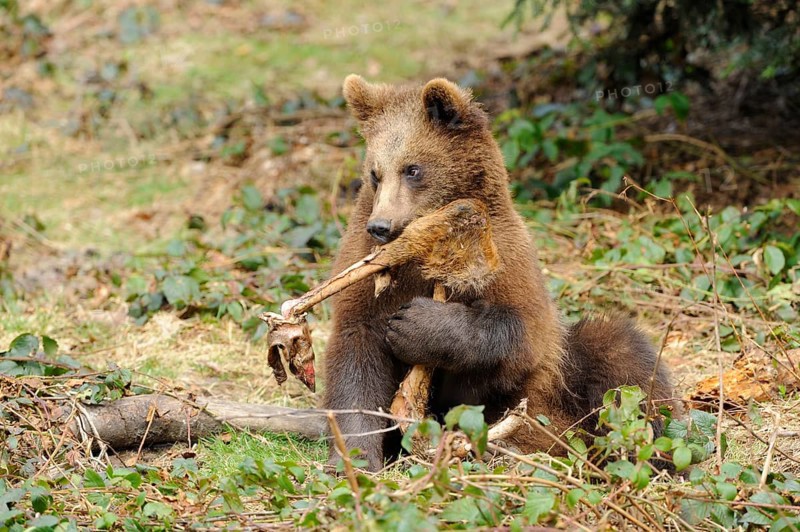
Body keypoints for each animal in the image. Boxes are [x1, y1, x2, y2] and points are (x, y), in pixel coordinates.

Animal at [322, 74, 676, 471]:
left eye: (413, 169)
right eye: (375, 173)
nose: (381, 226)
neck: (433, 239)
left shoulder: (505, 257)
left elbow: (518, 333)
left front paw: (417, 323)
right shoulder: (364, 275)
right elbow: (356, 364)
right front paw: (355, 457)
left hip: (560, 387)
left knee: (623, 361)